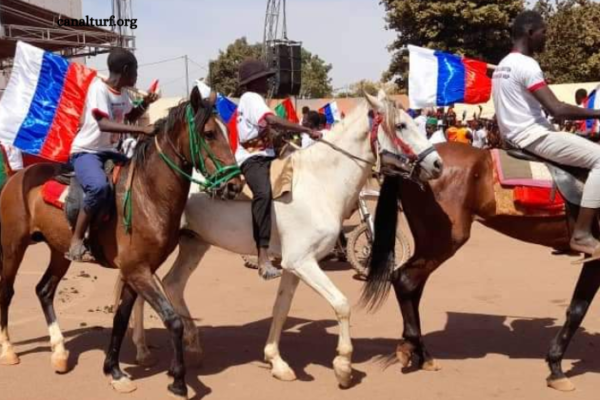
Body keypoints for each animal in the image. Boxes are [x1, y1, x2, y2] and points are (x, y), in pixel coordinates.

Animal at [1, 86, 244, 398]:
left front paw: (114, 371)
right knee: (6, 291)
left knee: (44, 290)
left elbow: (120, 319)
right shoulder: (137, 270)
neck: (147, 195)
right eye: (210, 133)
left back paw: (59, 352)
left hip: (59, 251)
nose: (235, 185)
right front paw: (178, 380)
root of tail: (17, 175)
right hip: (13, 246)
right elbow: (173, 320)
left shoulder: (137, 271)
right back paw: (8, 349)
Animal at [124, 90, 442, 388]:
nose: (437, 164)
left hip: (194, 243)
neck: (319, 185)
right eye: (400, 125)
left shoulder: (294, 266)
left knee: (170, 284)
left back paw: (187, 344)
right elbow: (341, 304)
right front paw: (343, 366)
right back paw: (142, 351)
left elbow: (281, 309)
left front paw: (276, 361)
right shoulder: (303, 262)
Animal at [360, 142, 596, 392]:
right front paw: (556, 368)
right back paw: (416, 348)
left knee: (412, 285)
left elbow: (578, 307)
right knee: (406, 280)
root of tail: (411, 165)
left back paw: (420, 353)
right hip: (443, 240)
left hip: (430, 242)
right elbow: (578, 310)